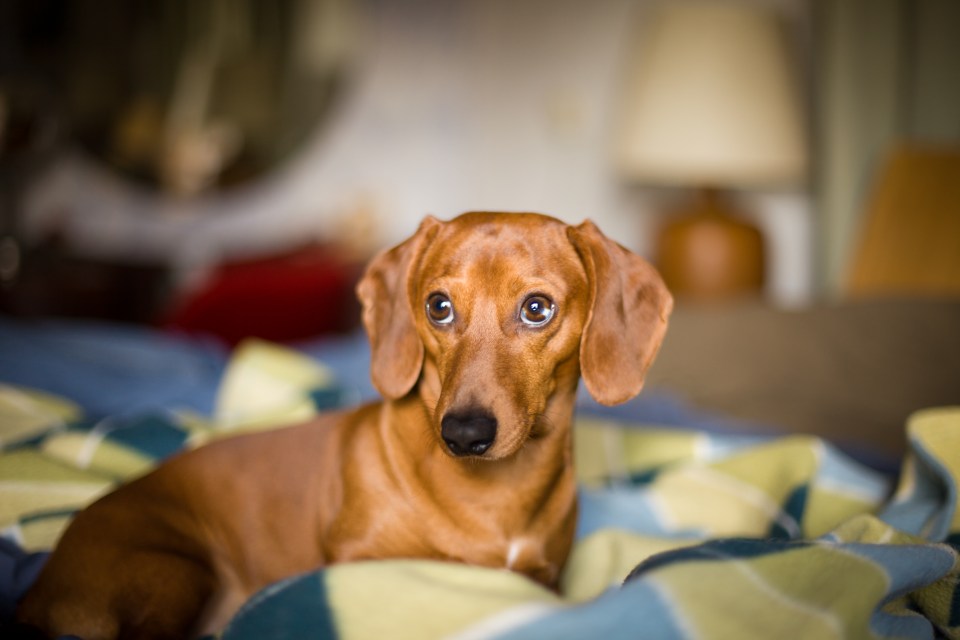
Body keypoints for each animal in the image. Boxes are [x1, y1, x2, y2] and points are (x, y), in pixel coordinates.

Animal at [18, 214, 672, 640]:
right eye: (438, 306)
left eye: (537, 309)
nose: (463, 434)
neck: (495, 494)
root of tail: (37, 588)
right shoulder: (357, 561)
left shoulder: (546, 582)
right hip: (170, 571)